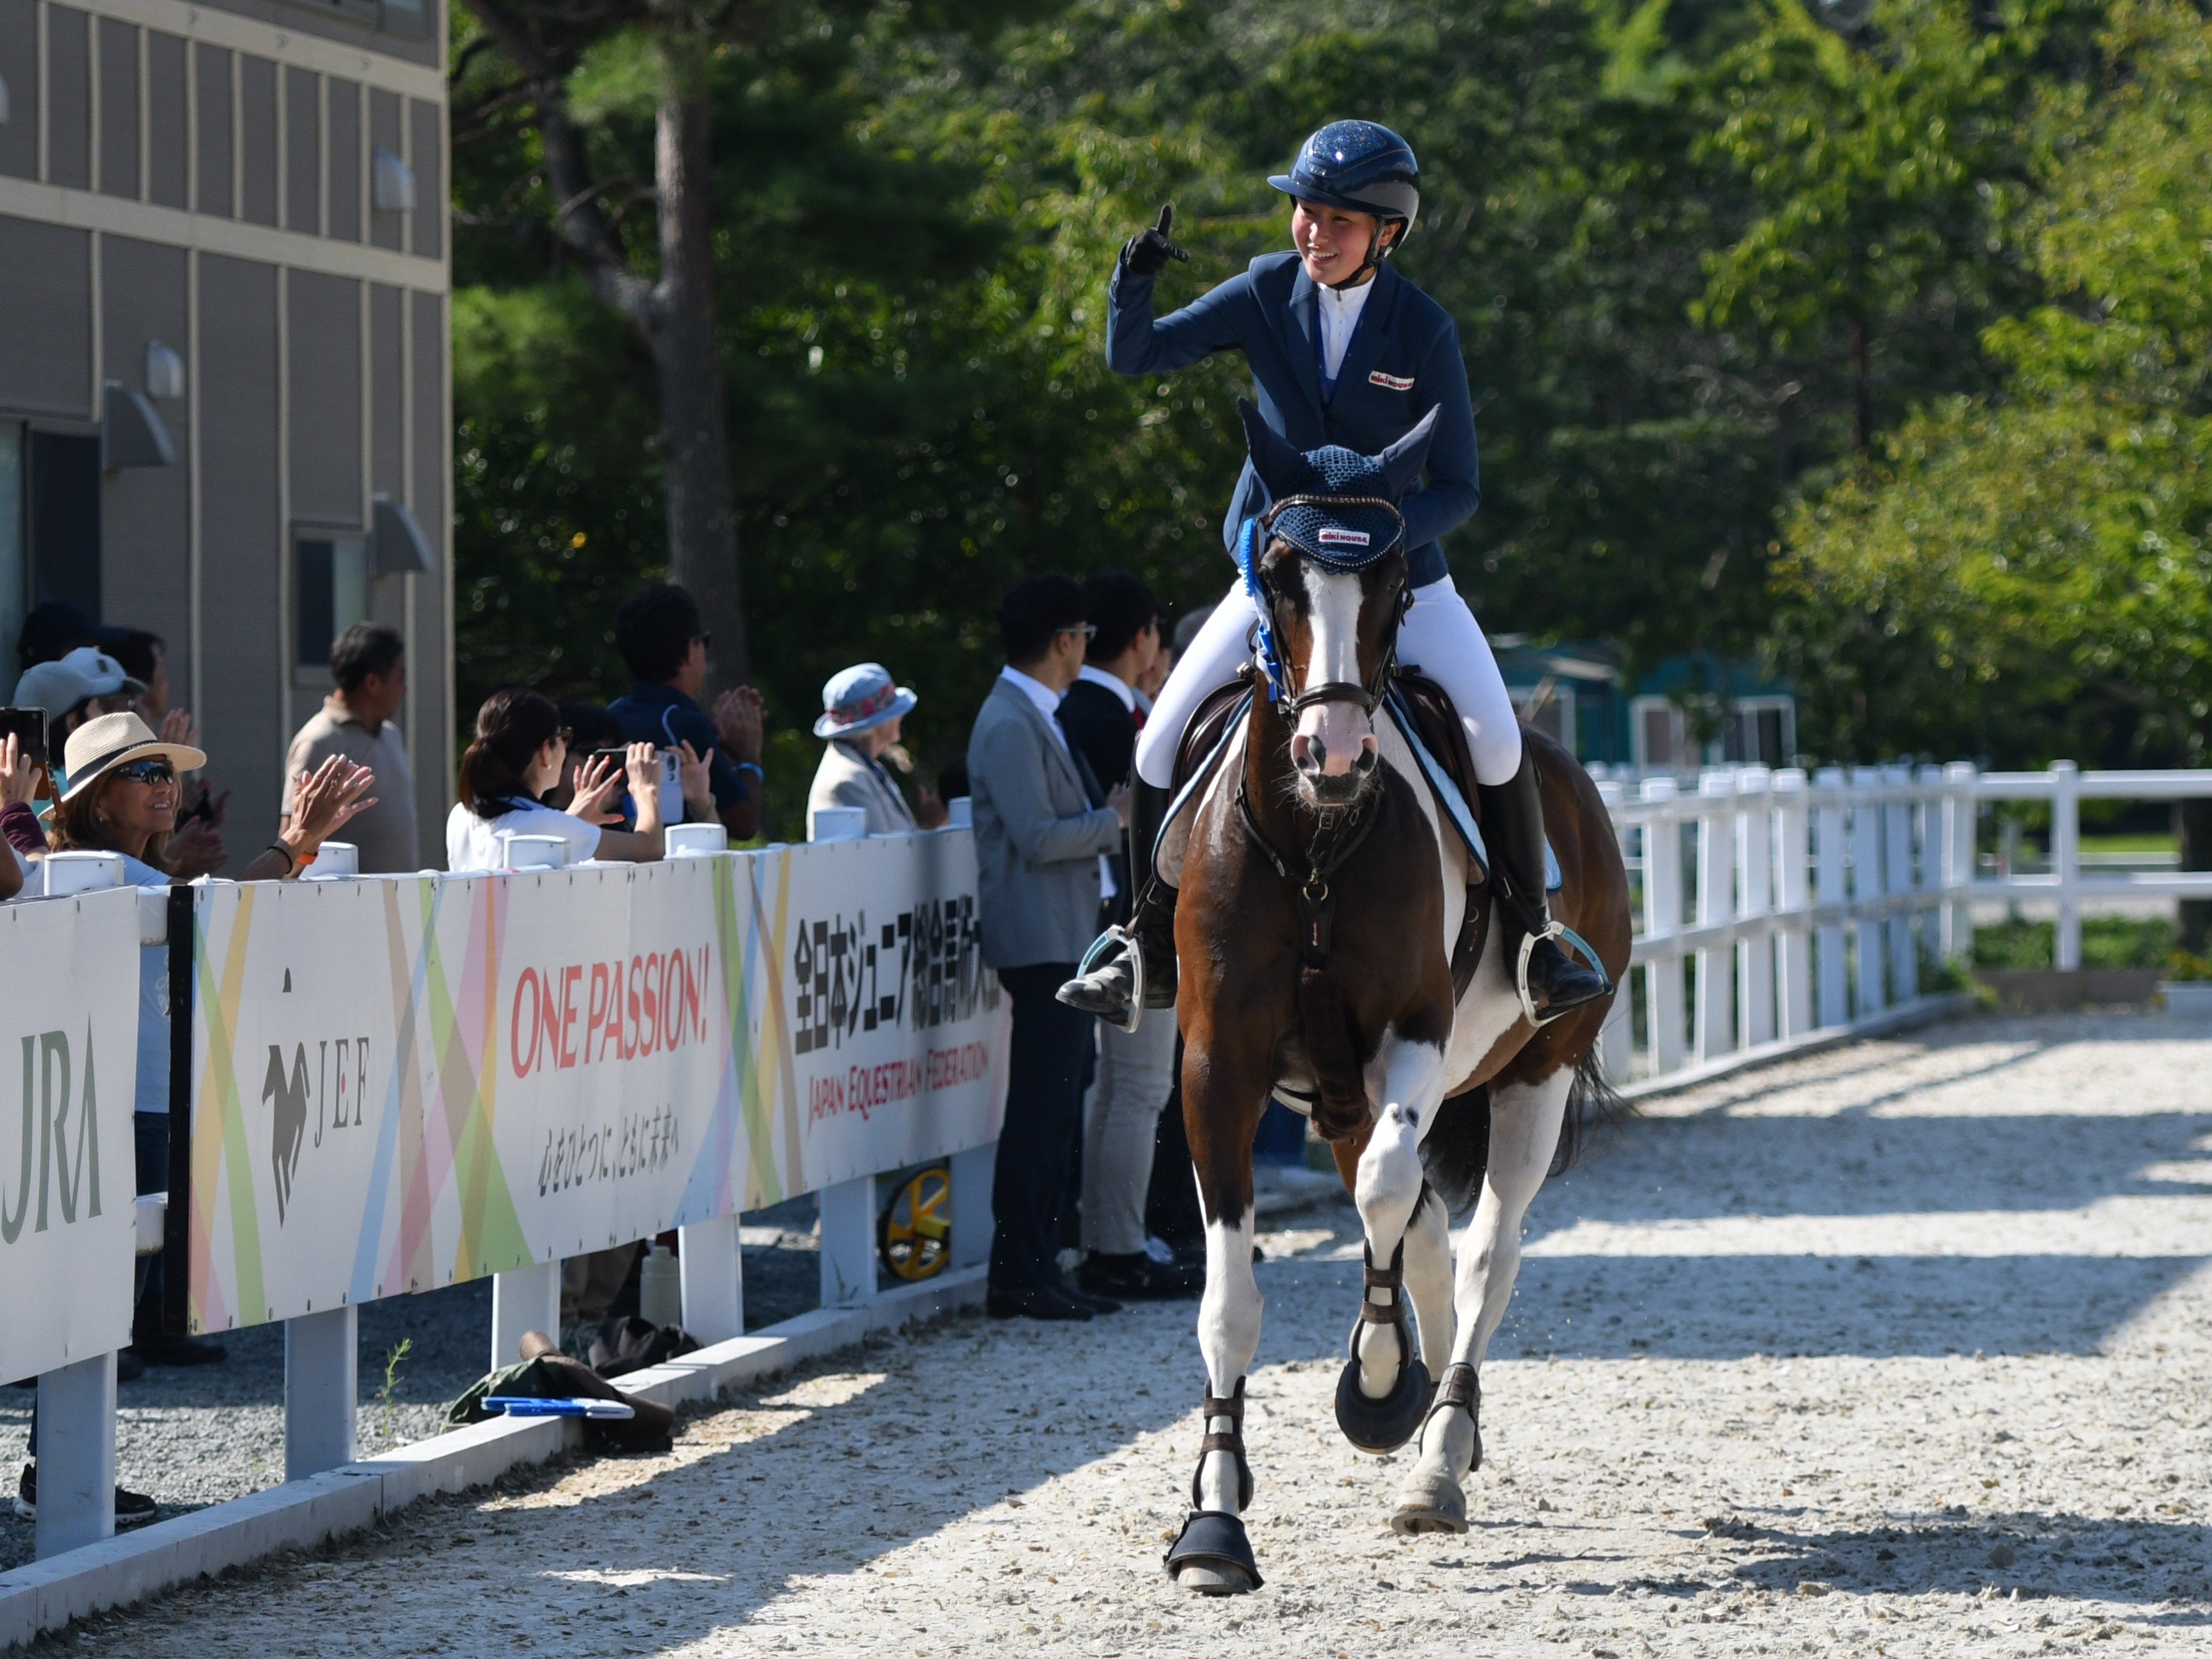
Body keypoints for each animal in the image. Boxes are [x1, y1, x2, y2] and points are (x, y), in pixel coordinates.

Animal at [1159, 403, 1634, 1595]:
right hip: (1334, 1097)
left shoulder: (1410, 1040)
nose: (1331, 751)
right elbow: (1230, 1301)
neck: (1313, 846)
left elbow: (1386, 1198)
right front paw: (1213, 1520)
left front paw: (1376, 1384)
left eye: (1390, 586)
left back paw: (1437, 1458)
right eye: (1278, 575)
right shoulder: (1216, 1071)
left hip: (1529, 1076)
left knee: (1482, 1251)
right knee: (1425, 1234)